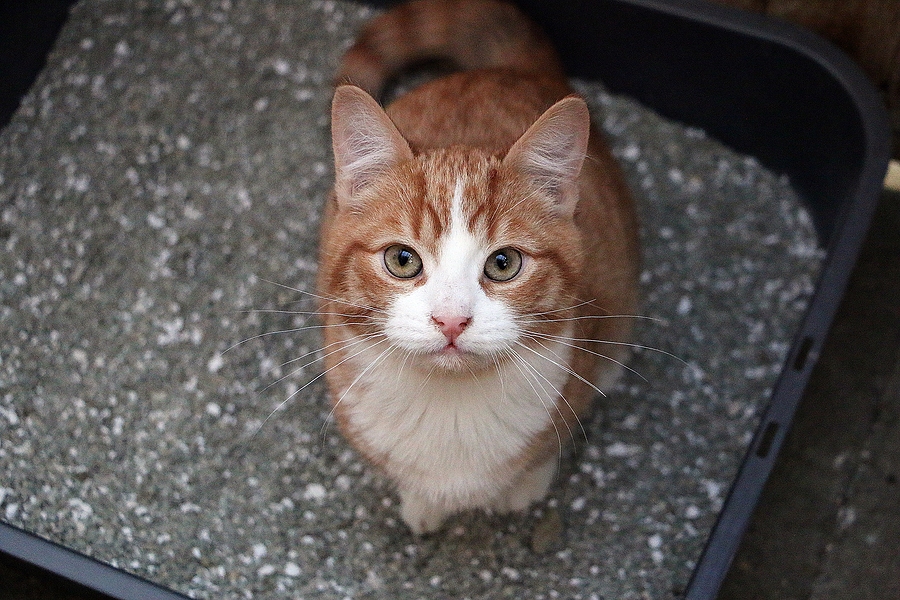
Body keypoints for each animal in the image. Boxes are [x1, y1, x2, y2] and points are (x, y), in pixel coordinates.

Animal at [316, 0, 640, 536]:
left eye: (503, 263)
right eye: (402, 260)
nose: (451, 320)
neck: (451, 407)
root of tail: (511, 70)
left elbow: (552, 439)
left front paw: (527, 483)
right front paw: (421, 500)